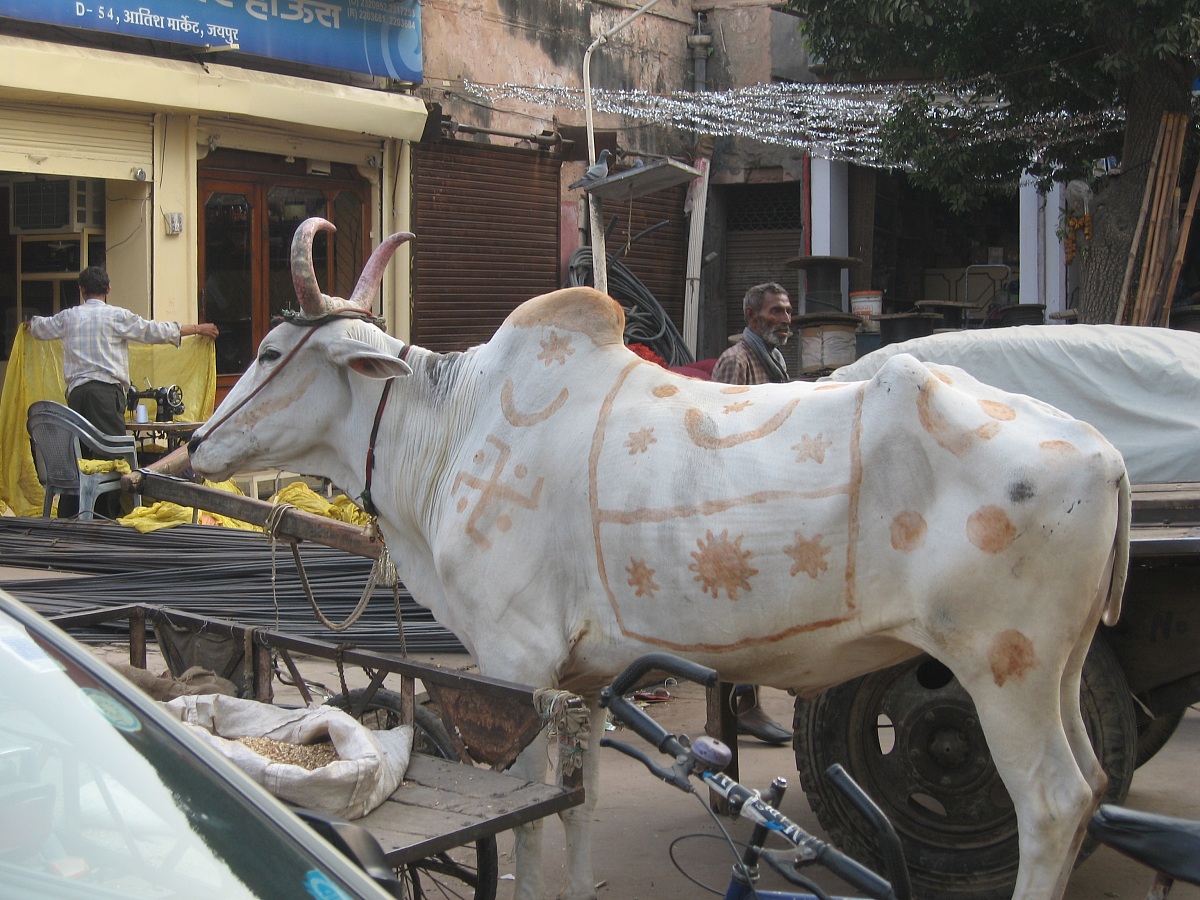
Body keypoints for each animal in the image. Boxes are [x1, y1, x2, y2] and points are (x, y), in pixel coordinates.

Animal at [188, 218, 1131, 900]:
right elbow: (580, 803)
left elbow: (525, 812)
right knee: (1093, 787)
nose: (195, 443)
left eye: (269, 352)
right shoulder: (587, 678)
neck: (453, 427)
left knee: (1050, 803)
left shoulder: (514, 662)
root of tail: (1104, 452)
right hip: (1058, 668)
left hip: (1002, 668)